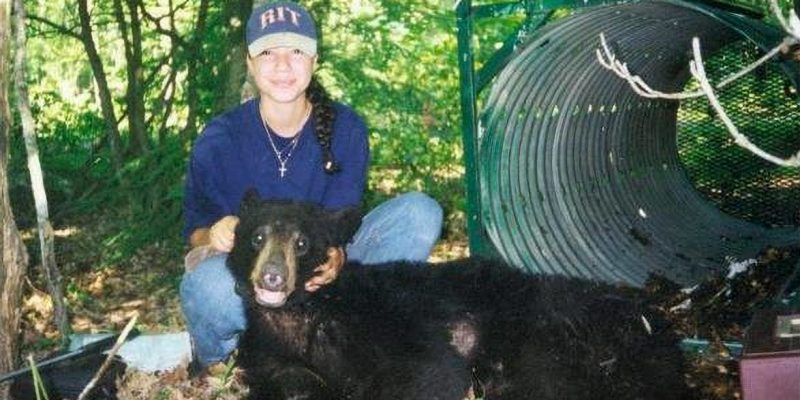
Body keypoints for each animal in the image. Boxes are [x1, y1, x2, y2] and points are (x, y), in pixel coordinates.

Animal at [228, 191, 692, 400]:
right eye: (257, 236)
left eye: (302, 243)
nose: (272, 277)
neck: (302, 314)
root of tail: (660, 326)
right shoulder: (265, 348)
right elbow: (283, 378)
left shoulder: (391, 324)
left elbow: (429, 371)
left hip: (554, 337)